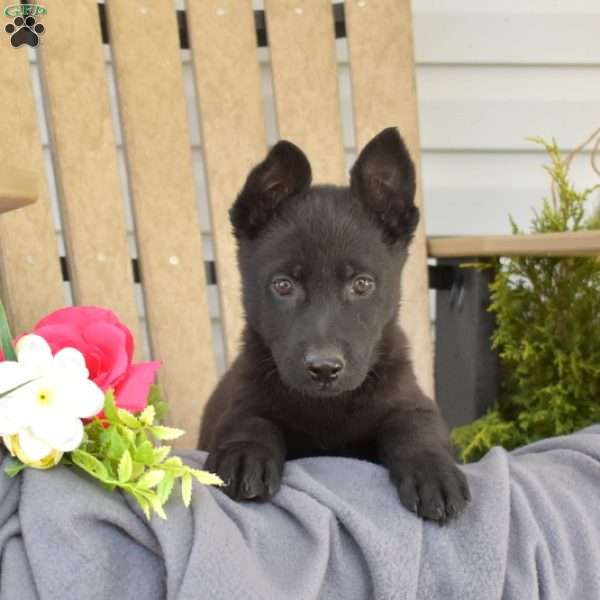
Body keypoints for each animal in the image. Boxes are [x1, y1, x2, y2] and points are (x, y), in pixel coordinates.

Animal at [199, 129, 472, 524]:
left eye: (362, 284)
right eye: (283, 285)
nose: (324, 369)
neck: (327, 407)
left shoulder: (409, 400)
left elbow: (417, 427)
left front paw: (434, 472)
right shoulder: (243, 397)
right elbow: (249, 420)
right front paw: (244, 454)